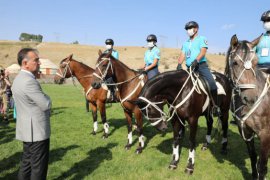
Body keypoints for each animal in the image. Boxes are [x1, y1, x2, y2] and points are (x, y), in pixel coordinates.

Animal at [225, 34, 270, 179]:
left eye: (255, 62)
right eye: (235, 63)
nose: (251, 98)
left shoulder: (265, 135)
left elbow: (262, 166)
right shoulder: (246, 130)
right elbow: (253, 157)